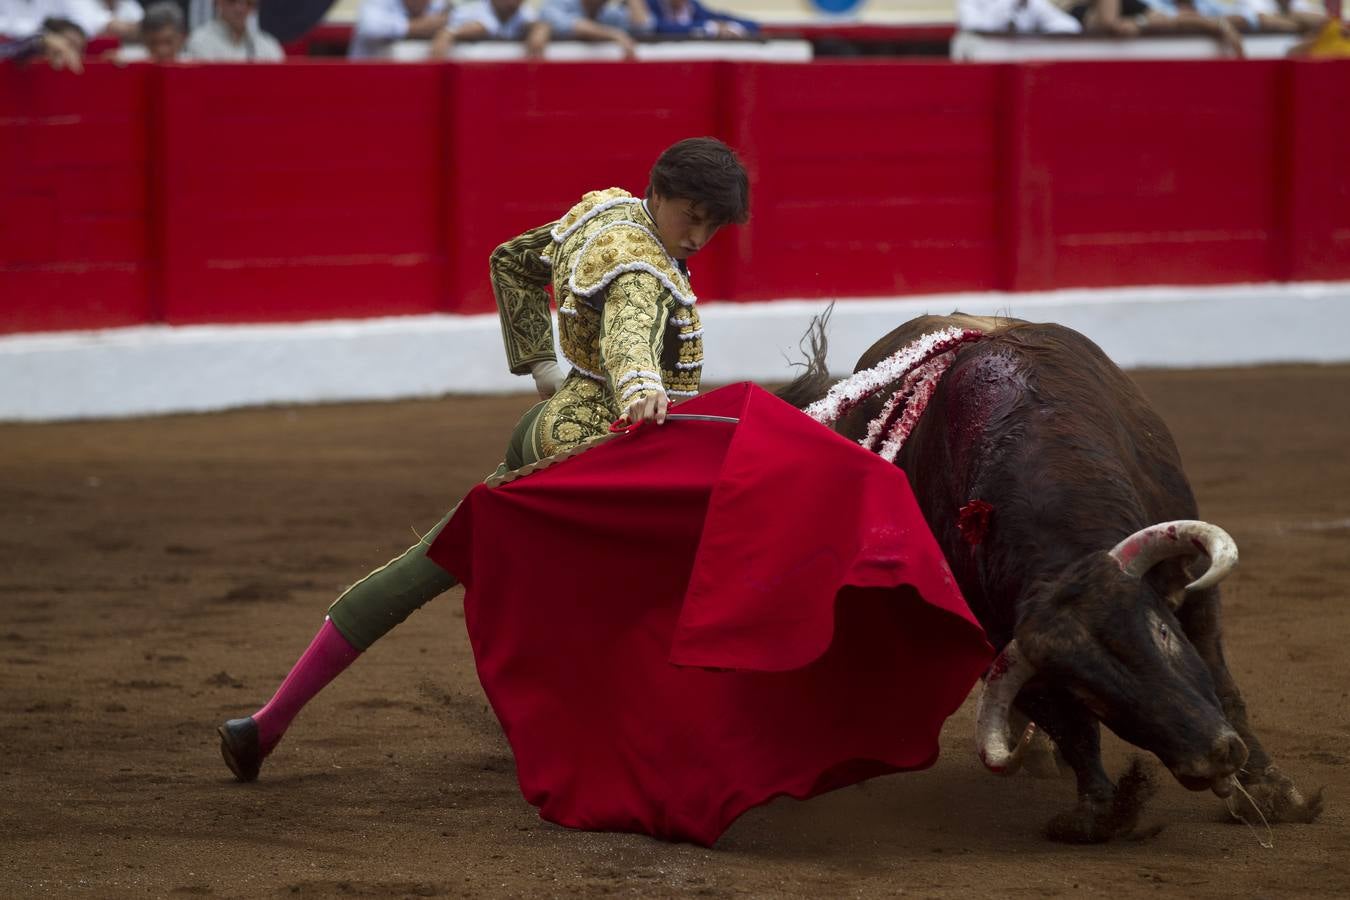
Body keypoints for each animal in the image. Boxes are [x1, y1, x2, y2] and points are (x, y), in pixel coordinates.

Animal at [783, 313, 1317, 841]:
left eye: (1162, 634)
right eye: (1089, 693)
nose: (1211, 760)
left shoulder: (1195, 593)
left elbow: (1223, 683)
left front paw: (1272, 793)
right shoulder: (1002, 643)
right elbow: (1069, 726)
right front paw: (1099, 809)